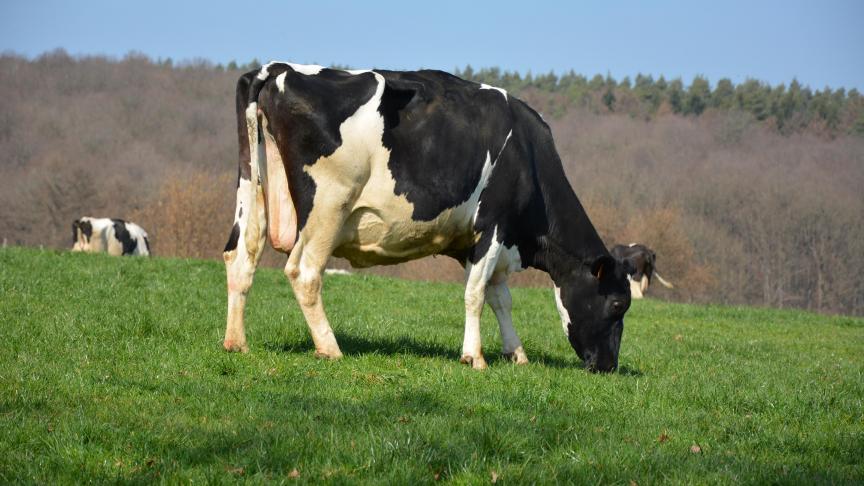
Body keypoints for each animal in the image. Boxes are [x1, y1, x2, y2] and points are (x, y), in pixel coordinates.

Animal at [221, 61, 628, 372]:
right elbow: (476, 294)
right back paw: (330, 348)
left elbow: (500, 298)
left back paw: (236, 342)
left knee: (240, 256)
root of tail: (278, 68)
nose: (608, 366)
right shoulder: (493, 226)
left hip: (253, 189)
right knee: (304, 272)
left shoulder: (481, 241)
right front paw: (474, 357)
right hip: (328, 205)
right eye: (617, 304)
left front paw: (516, 353)